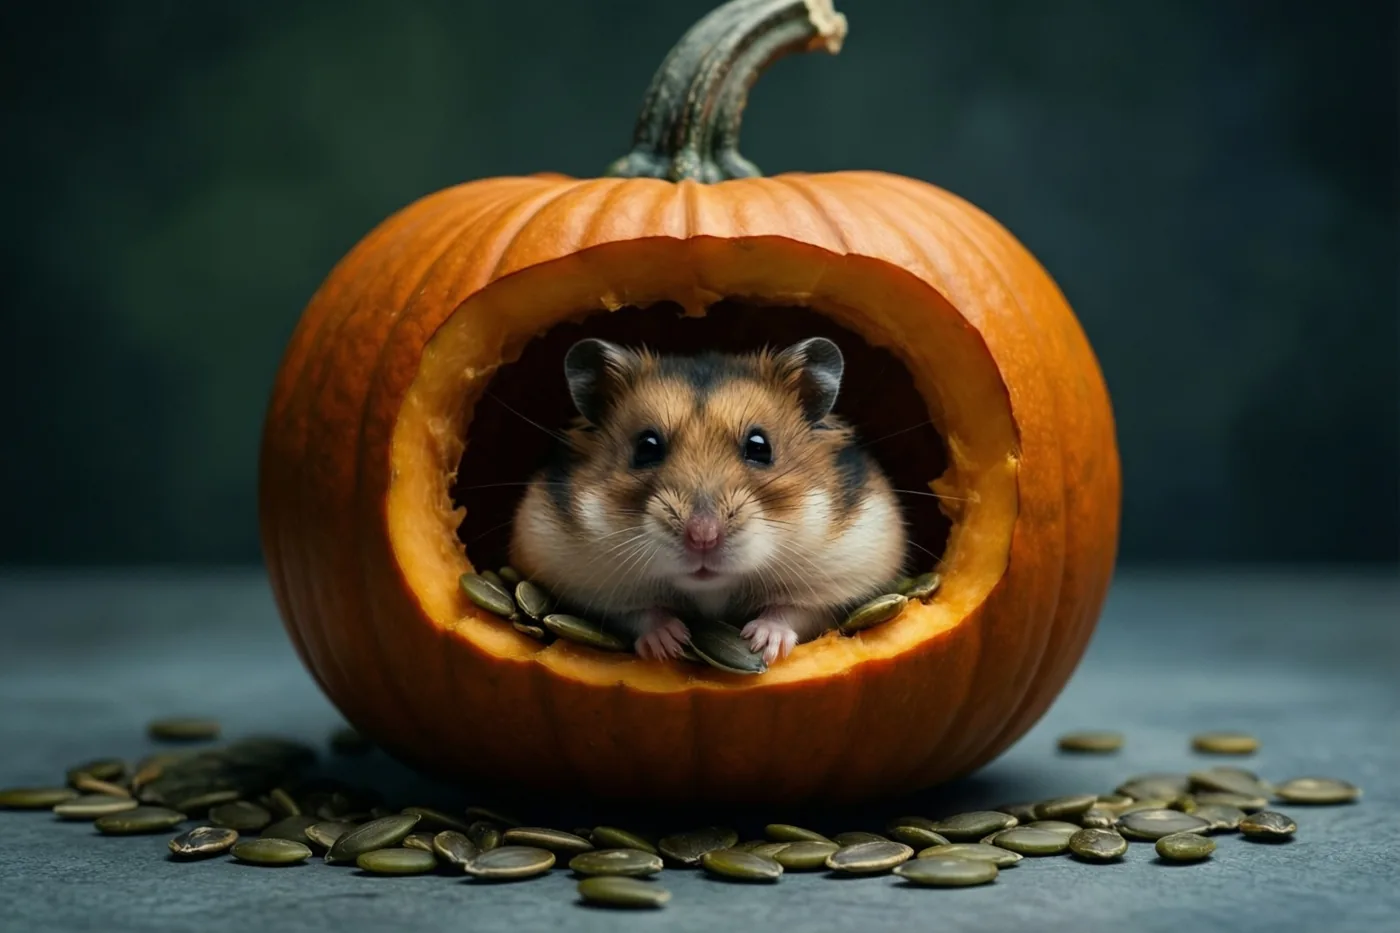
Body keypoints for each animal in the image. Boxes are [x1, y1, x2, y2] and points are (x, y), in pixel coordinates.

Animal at [508, 336, 908, 665]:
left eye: (760, 447)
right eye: (646, 447)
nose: (703, 537)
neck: (712, 590)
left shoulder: (842, 577)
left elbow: (793, 610)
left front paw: (760, 642)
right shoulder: (585, 583)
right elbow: (636, 614)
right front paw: (671, 643)